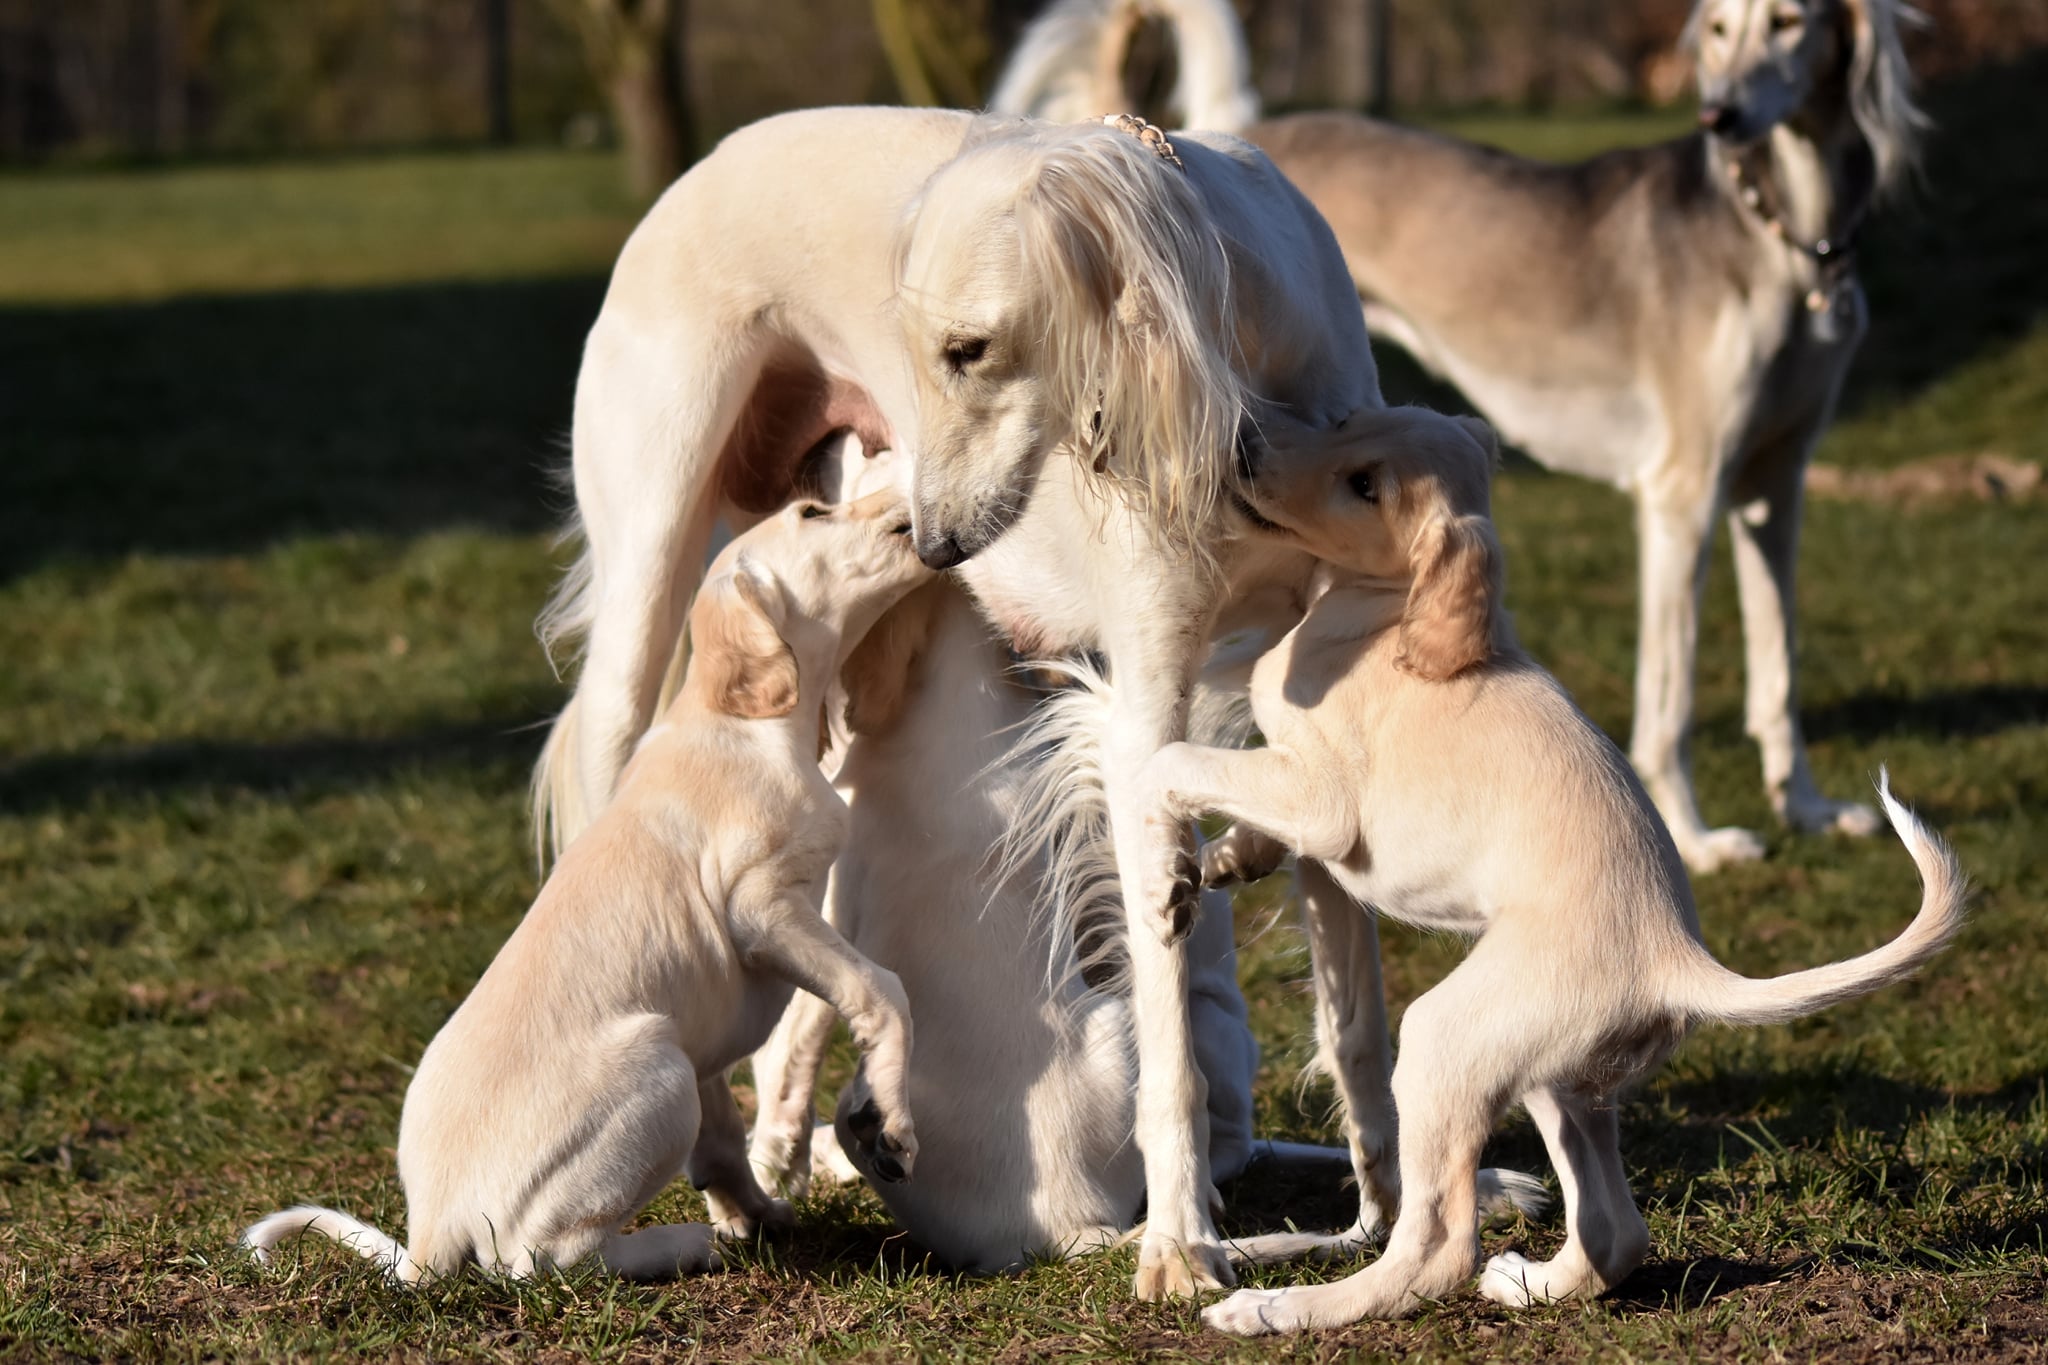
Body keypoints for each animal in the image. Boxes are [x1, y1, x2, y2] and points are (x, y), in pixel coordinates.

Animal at [241, 493, 937, 1285]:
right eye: (814, 510)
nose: (908, 500)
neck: (738, 722)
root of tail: (428, 1235)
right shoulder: (763, 907)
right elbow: (881, 988)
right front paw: (890, 1124)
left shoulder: (706, 1031)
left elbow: (724, 1140)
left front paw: (755, 1213)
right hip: (658, 1064)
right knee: (543, 1258)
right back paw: (676, 1245)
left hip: (674, 1058)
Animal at [532, 106, 1376, 1293]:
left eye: (967, 352)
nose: (933, 547)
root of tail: (709, 160)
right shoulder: (1142, 701)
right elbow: (1164, 1016)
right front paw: (1178, 1244)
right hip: (649, 585)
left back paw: (791, 1152)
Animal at [991, 0, 1933, 875]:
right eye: (1721, 31)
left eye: (1787, 22)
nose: (1720, 115)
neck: (1785, 243)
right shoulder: (1682, 492)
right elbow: (1668, 699)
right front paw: (1698, 839)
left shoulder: (1777, 482)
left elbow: (1780, 665)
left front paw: (1804, 805)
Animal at [1146, 409, 1974, 1334]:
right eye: (1344, 422)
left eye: (1365, 486)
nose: (1245, 447)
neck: (1390, 614)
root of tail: (1676, 959)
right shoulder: (1296, 786)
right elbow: (1255, 805)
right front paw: (1223, 859)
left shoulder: (1323, 796)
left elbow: (1189, 759)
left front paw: (1164, 831)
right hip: (1554, 1074)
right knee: (1614, 1229)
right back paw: (1523, 1282)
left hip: (1446, 1039)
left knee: (1435, 1248)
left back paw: (1280, 1306)